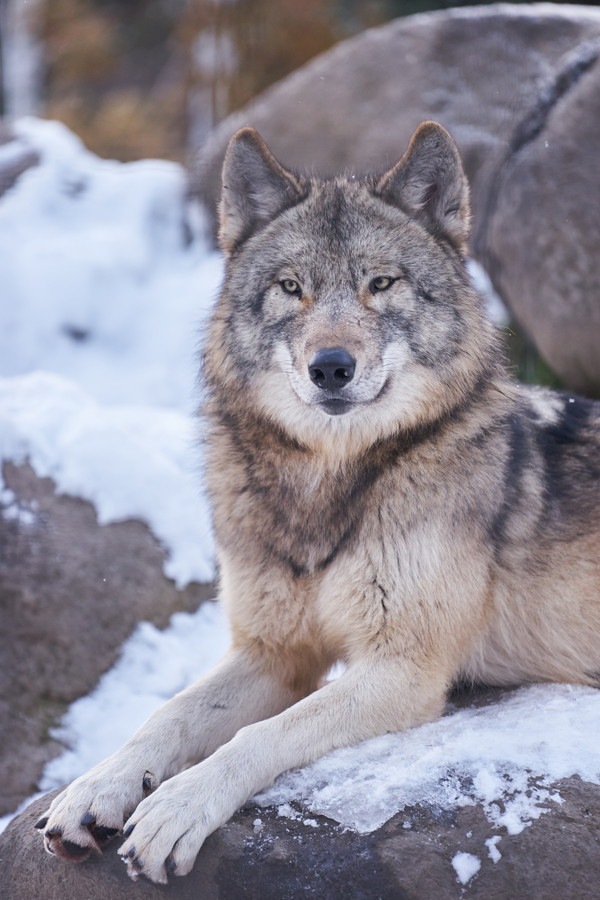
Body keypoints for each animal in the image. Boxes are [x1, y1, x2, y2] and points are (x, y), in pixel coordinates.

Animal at [35, 121, 596, 884]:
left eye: (380, 284)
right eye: (291, 288)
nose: (331, 366)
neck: (327, 489)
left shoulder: (402, 670)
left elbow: (259, 735)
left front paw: (177, 807)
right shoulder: (274, 652)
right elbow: (167, 716)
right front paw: (95, 787)